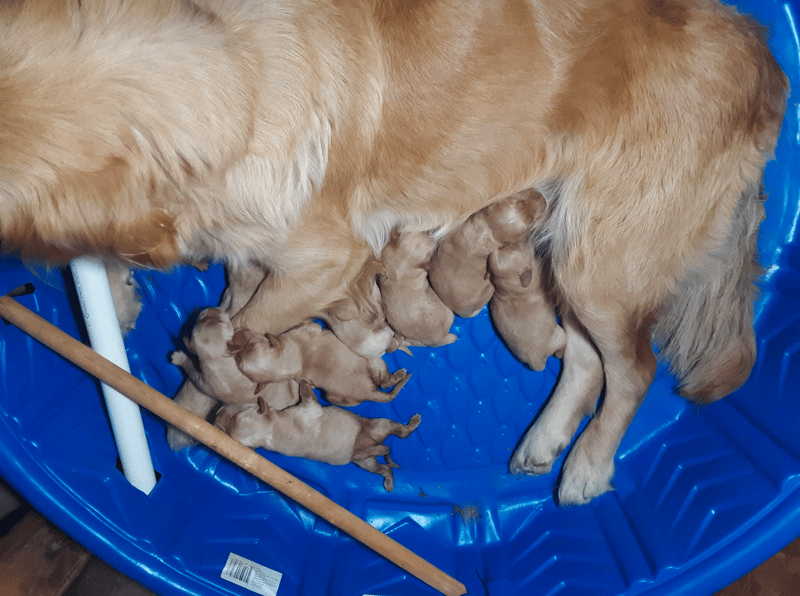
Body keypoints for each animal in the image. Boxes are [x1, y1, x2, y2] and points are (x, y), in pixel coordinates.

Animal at [216, 382, 422, 494]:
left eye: (238, 411)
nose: (216, 415)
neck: (270, 430)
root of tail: (371, 445)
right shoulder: (308, 406)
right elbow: (307, 393)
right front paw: (304, 381)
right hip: (374, 433)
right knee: (398, 435)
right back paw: (413, 423)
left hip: (365, 459)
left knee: (385, 466)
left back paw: (388, 481)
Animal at [428, 192, 548, 322]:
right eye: (531, 221)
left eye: (517, 199)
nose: (543, 198)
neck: (485, 231)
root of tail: (461, 313)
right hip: (489, 288)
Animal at [484, 240, 564, 370]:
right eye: (522, 248)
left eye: (508, 246)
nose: (525, 239)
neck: (509, 287)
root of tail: (537, 362)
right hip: (560, 335)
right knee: (560, 349)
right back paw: (559, 354)